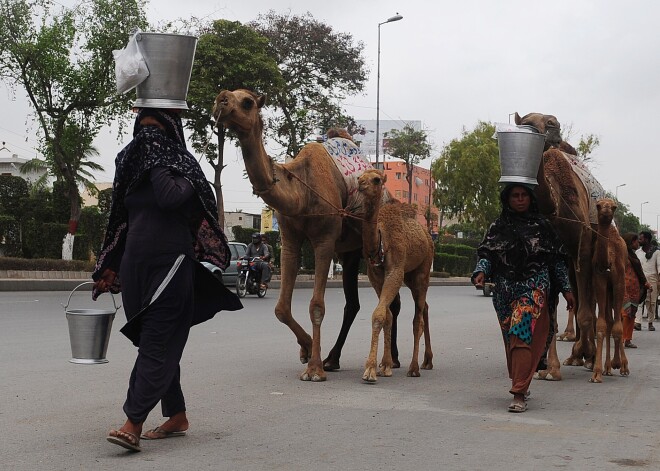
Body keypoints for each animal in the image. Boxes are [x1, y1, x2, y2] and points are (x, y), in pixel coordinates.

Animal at [215, 89, 402, 384]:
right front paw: (307, 350)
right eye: (225, 93)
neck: (301, 192)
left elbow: (317, 306)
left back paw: (391, 360)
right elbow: (281, 308)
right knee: (353, 304)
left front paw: (314, 369)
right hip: (350, 252)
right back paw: (333, 359)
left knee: (392, 302)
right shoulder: (290, 240)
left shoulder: (324, 240)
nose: (220, 101)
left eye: (246, 102)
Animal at [356, 170, 434, 384]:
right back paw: (427, 361)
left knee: (418, 319)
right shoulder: (375, 274)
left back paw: (414, 368)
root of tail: (427, 235)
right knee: (425, 307)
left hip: (423, 270)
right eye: (359, 177)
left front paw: (370, 370)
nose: (361, 184)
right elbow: (388, 315)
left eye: (376, 179)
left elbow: (379, 314)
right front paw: (386, 365)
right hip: (410, 275)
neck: (381, 240)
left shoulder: (395, 271)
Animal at [512, 112, 604, 382]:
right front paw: (550, 369)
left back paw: (586, 355)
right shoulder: (550, 257)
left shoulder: (581, 250)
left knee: (589, 298)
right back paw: (576, 355)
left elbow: (584, 310)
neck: (554, 208)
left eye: (549, 123)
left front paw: (590, 357)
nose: (554, 125)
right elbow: (549, 315)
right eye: (526, 123)